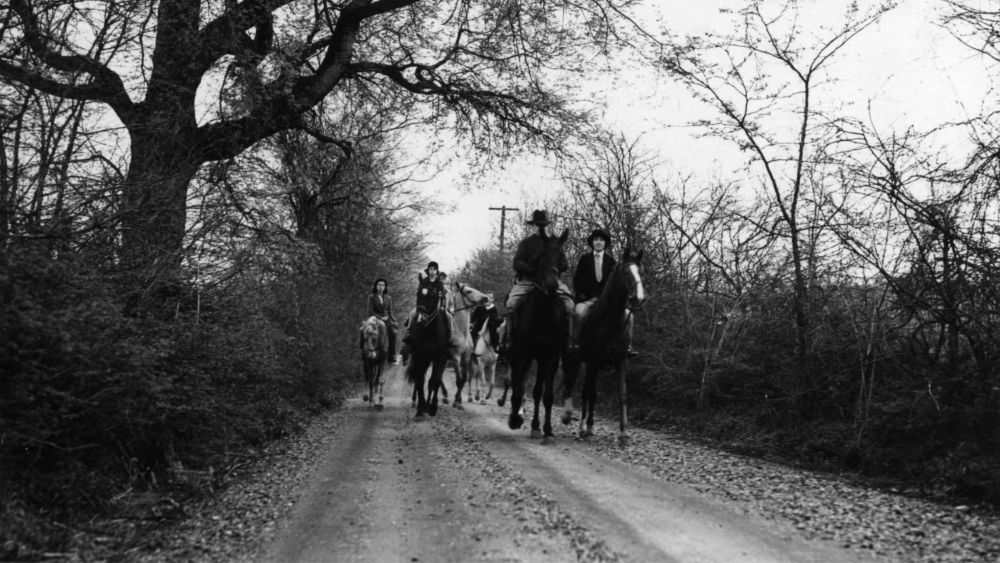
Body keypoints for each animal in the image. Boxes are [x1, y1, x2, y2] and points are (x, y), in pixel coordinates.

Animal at [406, 274, 454, 418]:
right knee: (418, 378)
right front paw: (421, 408)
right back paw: (417, 402)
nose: (420, 319)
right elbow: (420, 379)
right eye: (417, 294)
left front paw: (432, 407)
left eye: (432, 296)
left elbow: (434, 381)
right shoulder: (420, 356)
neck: (429, 330)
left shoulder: (439, 358)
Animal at [508, 229, 572, 446]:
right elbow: (518, 389)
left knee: (537, 391)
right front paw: (515, 419)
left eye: (562, 256)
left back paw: (536, 427)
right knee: (517, 383)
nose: (552, 284)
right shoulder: (522, 355)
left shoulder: (551, 356)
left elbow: (547, 396)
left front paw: (548, 431)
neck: (543, 314)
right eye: (542, 257)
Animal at [564, 247, 648, 446]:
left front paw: (624, 434)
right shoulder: (594, 362)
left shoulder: (621, 362)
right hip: (573, 358)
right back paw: (571, 419)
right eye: (625, 272)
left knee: (583, 391)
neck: (609, 323)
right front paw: (587, 429)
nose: (639, 299)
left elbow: (622, 395)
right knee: (572, 384)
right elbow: (591, 394)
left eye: (641, 271)